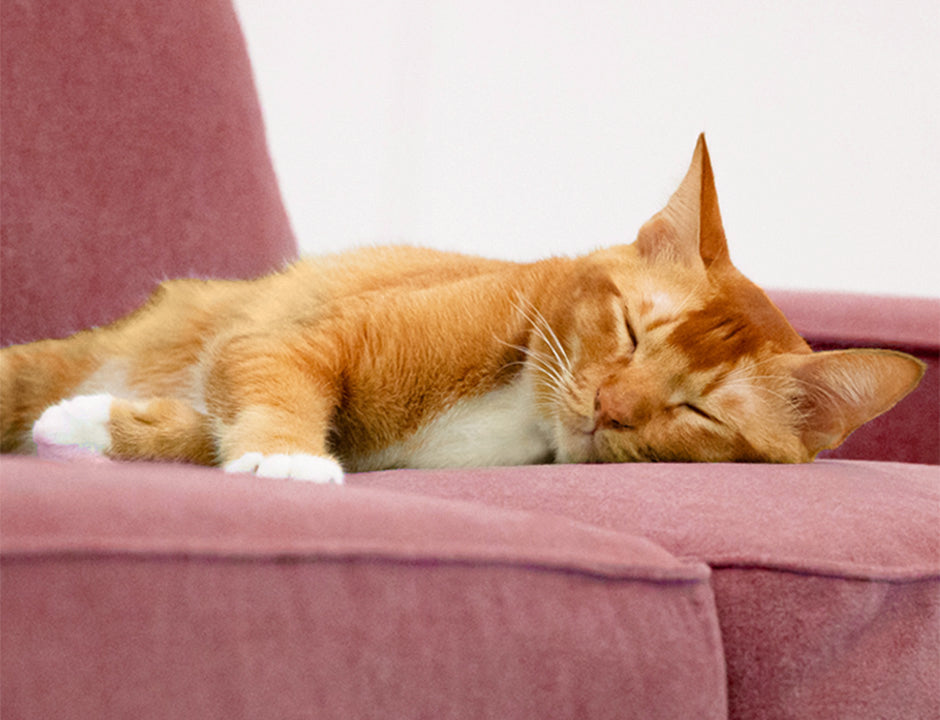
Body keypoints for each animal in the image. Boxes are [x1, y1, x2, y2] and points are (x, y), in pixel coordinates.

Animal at [0, 135, 924, 484]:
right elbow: (273, 389)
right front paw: (287, 460)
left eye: (700, 412)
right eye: (632, 330)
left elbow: (202, 427)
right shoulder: (289, 341)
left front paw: (97, 429)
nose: (608, 405)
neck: (519, 409)